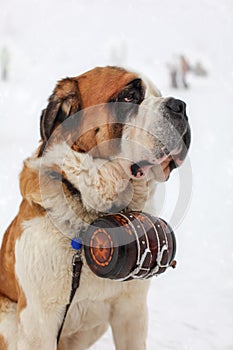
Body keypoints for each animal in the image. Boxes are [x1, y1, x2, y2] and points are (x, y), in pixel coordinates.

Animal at [0, 66, 190, 350]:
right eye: (129, 96)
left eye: (158, 94)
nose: (179, 105)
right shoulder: (38, 322)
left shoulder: (131, 312)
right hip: (9, 319)